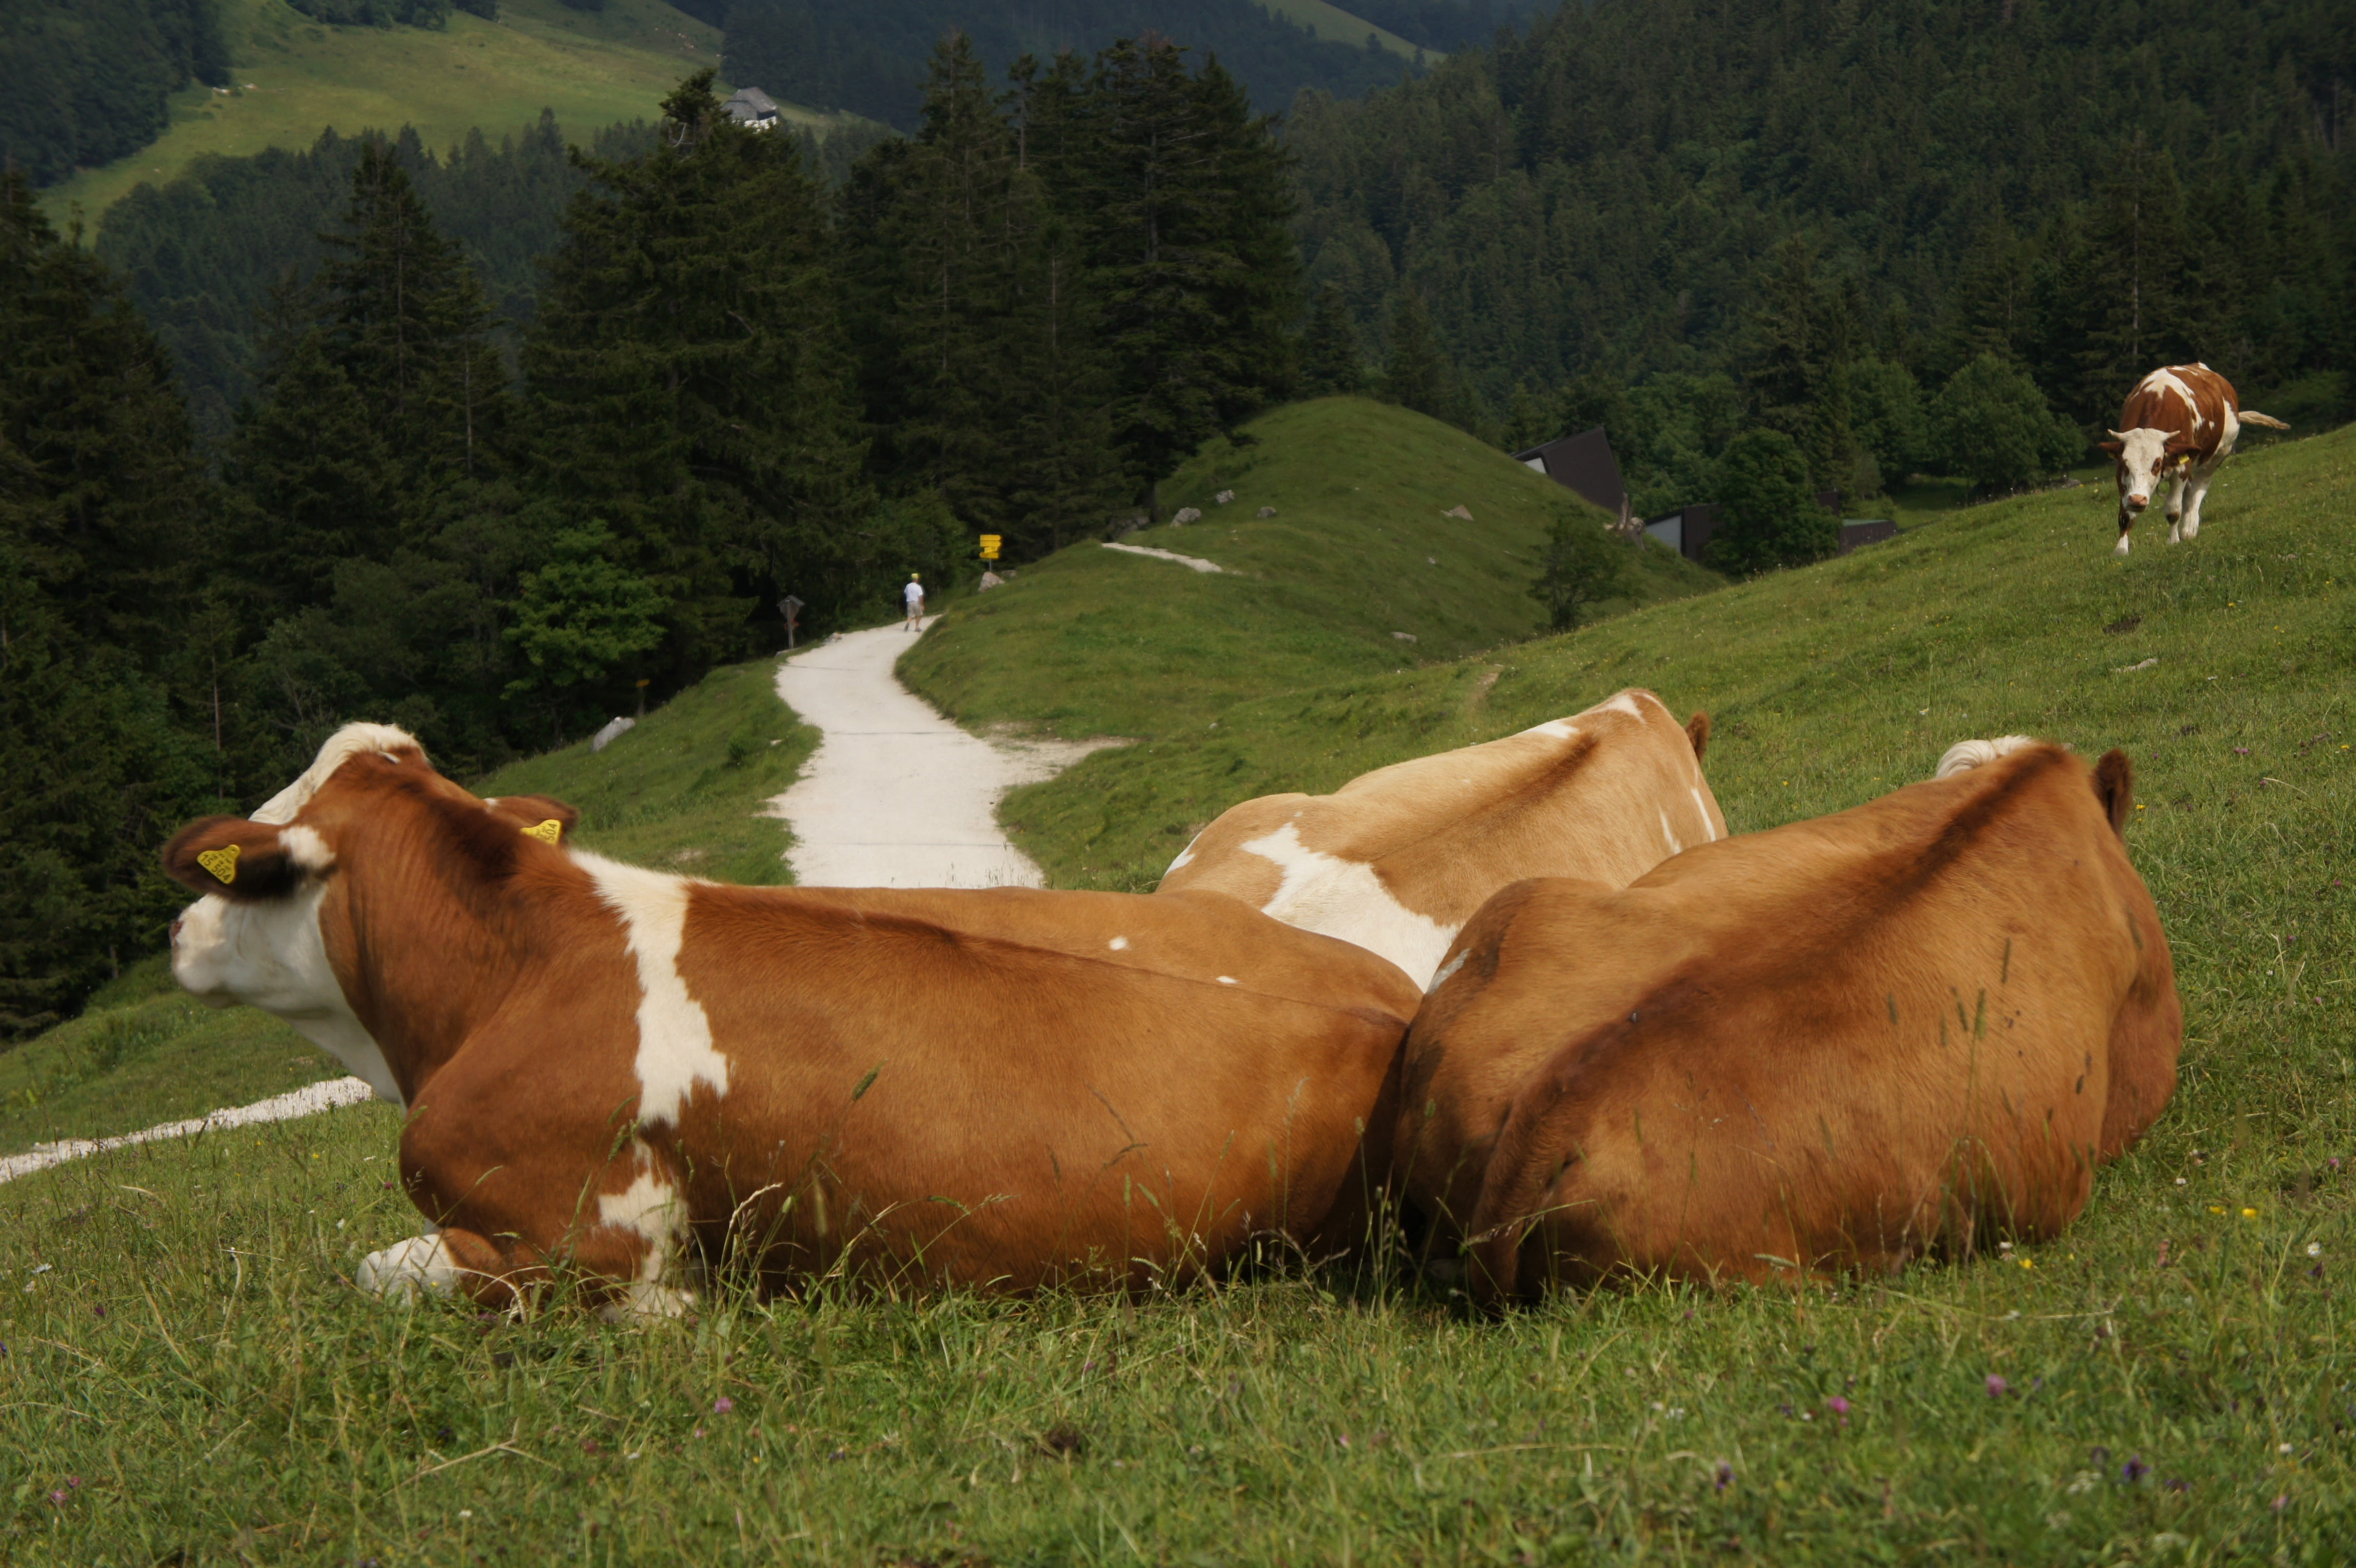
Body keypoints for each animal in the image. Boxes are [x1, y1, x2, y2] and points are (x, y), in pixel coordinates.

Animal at [162, 724, 1423, 1316]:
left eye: (247, 875)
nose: (176, 931)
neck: (511, 978)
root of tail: (1399, 999)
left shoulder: (588, 1240)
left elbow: (382, 1270)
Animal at [2101, 363, 2290, 556]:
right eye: (2125, 463)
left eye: (2158, 463)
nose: (2138, 500)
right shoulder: (2121, 476)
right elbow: (2125, 515)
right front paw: (2121, 549)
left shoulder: (2182, 469)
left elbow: (2173, 510)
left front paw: (2173, 541)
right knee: (2190, 491)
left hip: (2218, 454)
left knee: (2200, 487)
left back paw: (2190, 527)